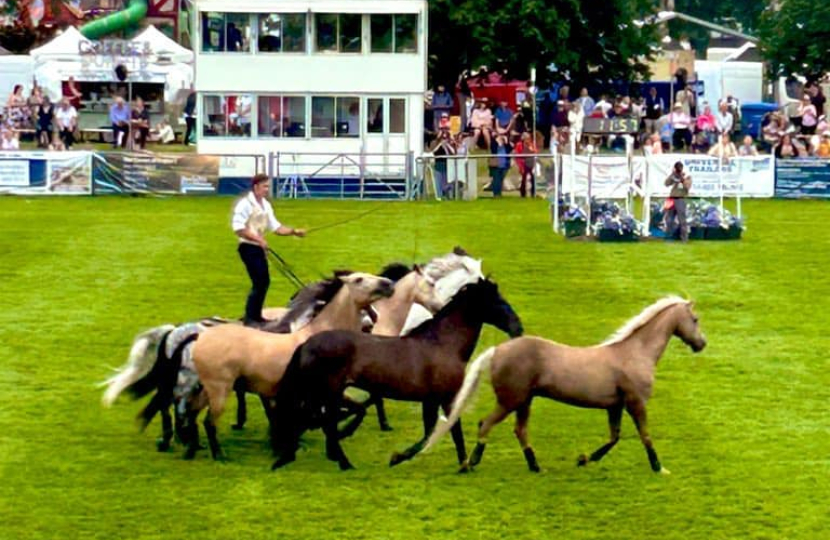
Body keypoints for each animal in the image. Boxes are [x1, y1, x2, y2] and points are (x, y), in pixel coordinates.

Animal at [270, 280, 524, 470]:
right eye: (497, 301)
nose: (518, 327)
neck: (443, 345)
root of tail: (306, 344)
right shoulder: (444, 398)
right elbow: (446, 431)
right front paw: (462, 465)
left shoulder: (431, 400)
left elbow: (435, 431)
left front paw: (463, 464)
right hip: (327, 394)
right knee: (326, 424)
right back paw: (343, 462)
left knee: (314, 421)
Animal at [428, 296, 708, 472]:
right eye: (695, 319)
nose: (701, 344)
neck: (635, 353)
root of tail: (497, 350)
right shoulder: (635, 403)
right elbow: (645, 436)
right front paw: (659, 468)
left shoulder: (615, 406)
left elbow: (614, 437)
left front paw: (584, 459)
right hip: (511, 401)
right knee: (486, 424)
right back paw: (472, 462)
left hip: (524, 401)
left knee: (520, 431)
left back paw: (535, 466)